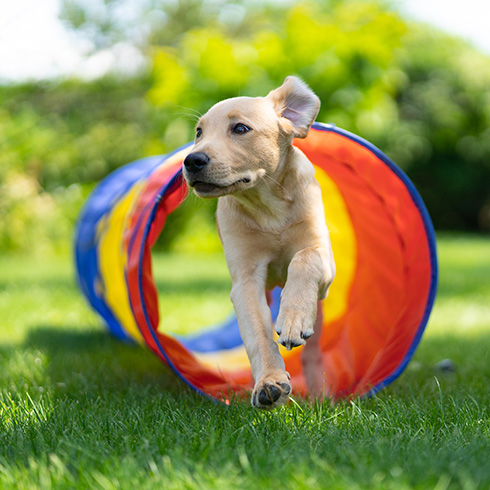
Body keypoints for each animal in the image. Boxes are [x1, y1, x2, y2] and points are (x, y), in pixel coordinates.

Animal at [182, 75, 334, 406]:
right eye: (199, 132)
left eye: (240, 129)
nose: (191, 160)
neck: (268, 208)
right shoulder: (246, 280)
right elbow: (257, 334)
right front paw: (269, 383)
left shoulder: (322, 256)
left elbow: (304, 258)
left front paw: (293, 320)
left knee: (314, 353)